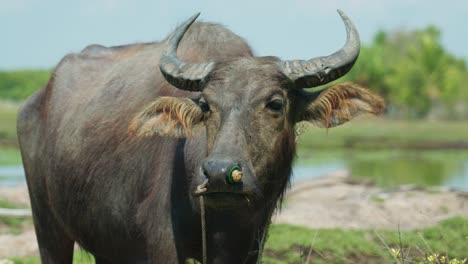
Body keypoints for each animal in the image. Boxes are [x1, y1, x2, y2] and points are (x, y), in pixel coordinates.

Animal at [17, 11, 384, 262]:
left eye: (275, 103)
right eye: (206, 105)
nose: (220, 173)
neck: (222, 220)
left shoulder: (249, 247)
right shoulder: (162, 244)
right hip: (47, 226)